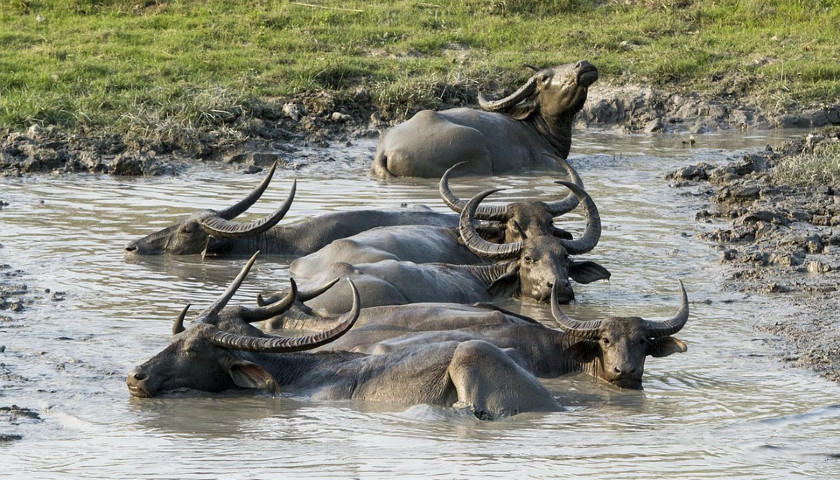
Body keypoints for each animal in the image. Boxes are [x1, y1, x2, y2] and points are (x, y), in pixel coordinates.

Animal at [128, 253, 560, 418]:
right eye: (175, 339)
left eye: (194, 348)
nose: (136, 376)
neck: (296, 374)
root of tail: (551, 402)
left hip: (472, 353)